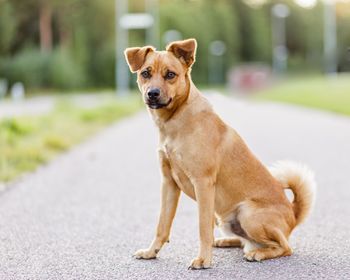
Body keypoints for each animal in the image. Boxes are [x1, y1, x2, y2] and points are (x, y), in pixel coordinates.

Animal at [124, 38, 316, 268]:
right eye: (145, 73)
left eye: (170, 74)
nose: (152, 93)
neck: (176, 121)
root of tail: (293, 214)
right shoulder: (168, 183)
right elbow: (162, 225)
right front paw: (151, 252)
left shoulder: (203, 183)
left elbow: (202, 228)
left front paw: (203, 259)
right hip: (226, 219)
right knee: (246, 241)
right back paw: (226, 241)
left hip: (247, 213)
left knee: (283, 247)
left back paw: (257, 254)